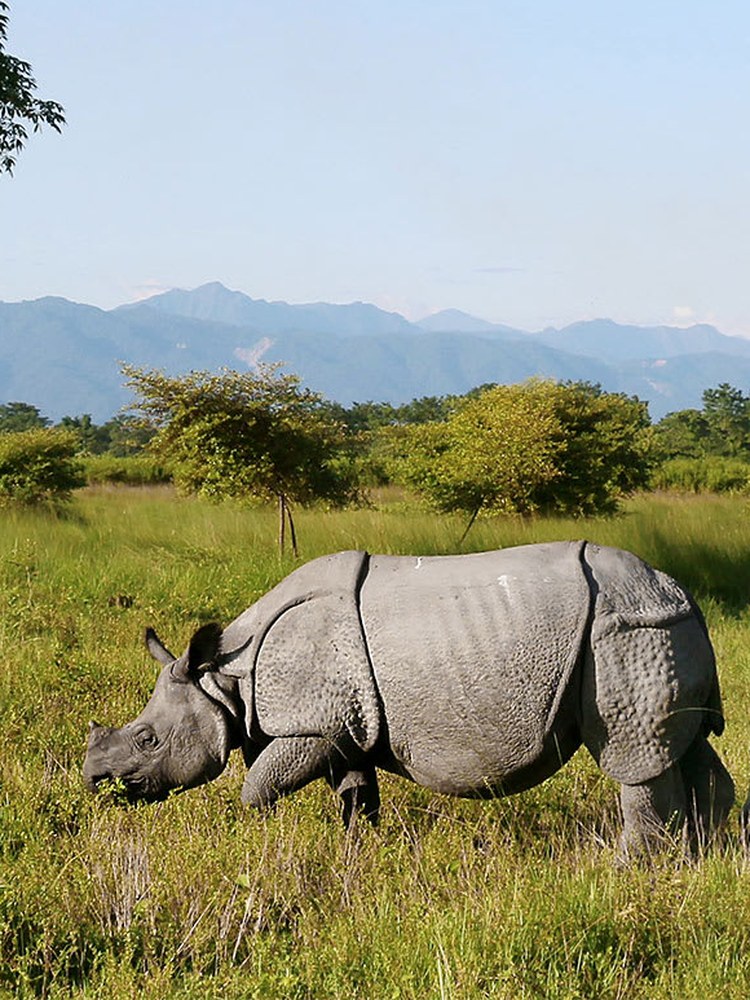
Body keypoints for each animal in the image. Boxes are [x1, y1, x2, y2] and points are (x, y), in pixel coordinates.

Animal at [83, 541, 735, 856]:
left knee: (634, 758)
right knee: (682, 746)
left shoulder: (310, 725)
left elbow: (257, 787)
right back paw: (704, 857)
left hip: (624, 633)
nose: (94, 779)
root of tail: (680, 592)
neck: (225, 678)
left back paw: (631, 869)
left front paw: (259, 836)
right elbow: (355, 792)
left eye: (147, 739)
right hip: (657, 630)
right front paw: (357, 855)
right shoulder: (343, 727)